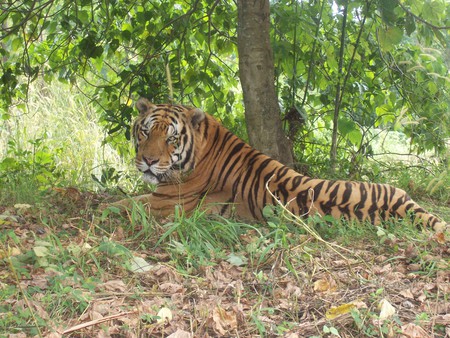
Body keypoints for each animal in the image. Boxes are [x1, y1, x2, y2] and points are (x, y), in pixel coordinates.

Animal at [111, 97, 446, 232]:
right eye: (145, 132)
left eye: (171, 138)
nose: (148, 161)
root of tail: (402, 204)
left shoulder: (164, 203)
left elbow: (118, 205)